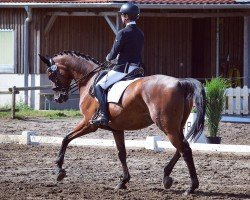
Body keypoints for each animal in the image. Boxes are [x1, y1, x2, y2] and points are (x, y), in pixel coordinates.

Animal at [39, 50, 206, 195]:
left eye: (51, 75)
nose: (58, 98)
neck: (90, 80)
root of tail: (179, 83)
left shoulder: (89, 124)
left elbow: (66, 138)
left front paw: (60, 170)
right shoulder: (117, 129)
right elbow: (122, 154)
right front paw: (123, 181)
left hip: (168, 126)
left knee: (185, 150)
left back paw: (191, 187)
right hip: (177, 126)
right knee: (182, 147)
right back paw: (166, 177)